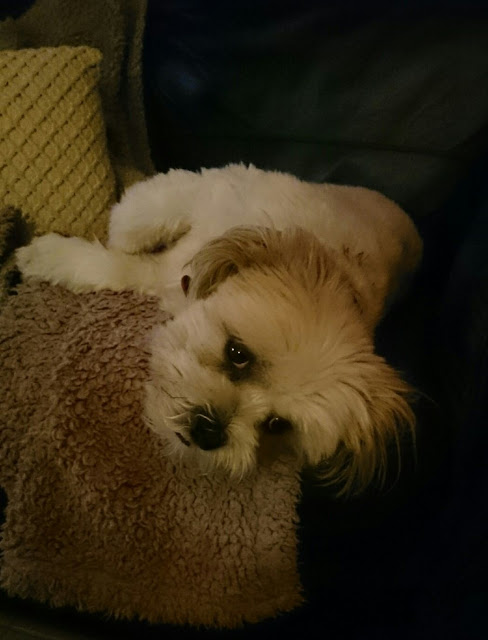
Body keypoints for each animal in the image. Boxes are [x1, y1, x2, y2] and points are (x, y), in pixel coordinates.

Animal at [16, 164, 422, 494]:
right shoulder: (222, 185)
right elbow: (151, 205)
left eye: (277, 425)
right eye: (237, 353)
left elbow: (118, 268)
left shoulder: (161, 275)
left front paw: (56, 258)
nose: (210, 431)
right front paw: (120, 232)